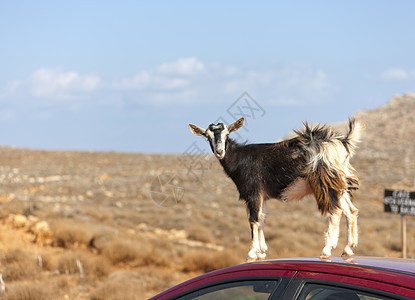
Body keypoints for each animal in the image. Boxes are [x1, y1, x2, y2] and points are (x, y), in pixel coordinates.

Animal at [188, 116, 364, 262]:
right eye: (207, 136)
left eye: (227, 134)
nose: (219, 151)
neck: (240, 159)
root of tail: (342, 142)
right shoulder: (263, 196)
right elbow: (262, 219)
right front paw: (262, 252)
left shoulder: (253, 192)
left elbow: (253, 220)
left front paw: (252, 253)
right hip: (339, 184)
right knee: (351, 211)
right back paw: (348, 249)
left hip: (324, 181)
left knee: (335, 211)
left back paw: (326, 249)